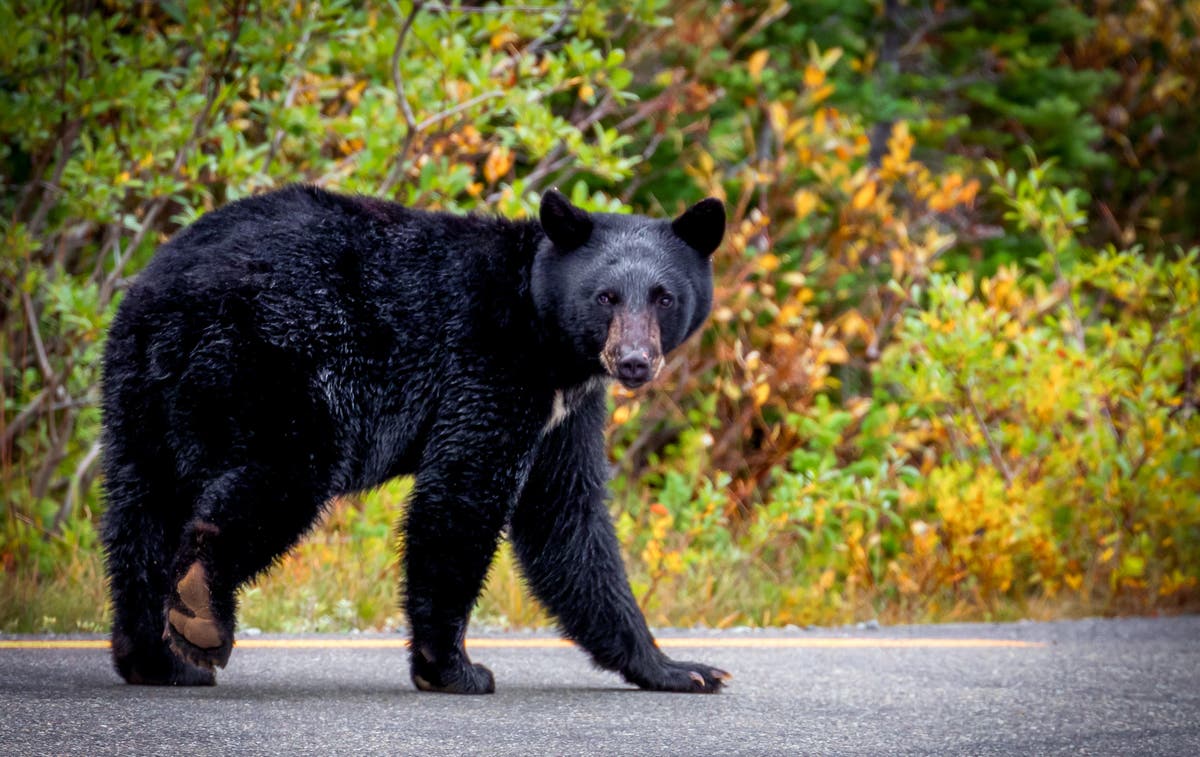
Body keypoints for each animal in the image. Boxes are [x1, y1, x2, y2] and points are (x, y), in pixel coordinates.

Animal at [100, 184, 729, 694]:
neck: (542, 330)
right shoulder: (489, 368)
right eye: (606, 297)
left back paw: (158, 659)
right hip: (273, 364)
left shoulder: (564, 412)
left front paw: (677, 668)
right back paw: (201, 611)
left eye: (663, 296)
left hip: (137, 392)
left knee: (140, 514)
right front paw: (452, 668)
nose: (634, 361)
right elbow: (462, 495)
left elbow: (566, 519)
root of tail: (169, 292)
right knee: (279, 477)